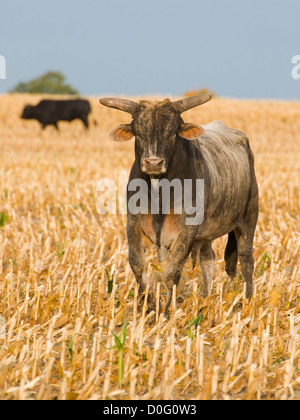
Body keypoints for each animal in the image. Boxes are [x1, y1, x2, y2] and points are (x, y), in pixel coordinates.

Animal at [99, 95, 258, 316]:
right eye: (138, 132)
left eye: (173, 132)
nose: (153, 163)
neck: (160, 194)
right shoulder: (133, 225)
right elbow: (137, 265)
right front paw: (147, 307)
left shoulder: (187, 232)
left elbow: (171, 272)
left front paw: (167, 312)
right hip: (205, 235)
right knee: (208, 262)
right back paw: (205, 300)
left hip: (248, 218)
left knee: (246, 259)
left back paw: (248, 300)